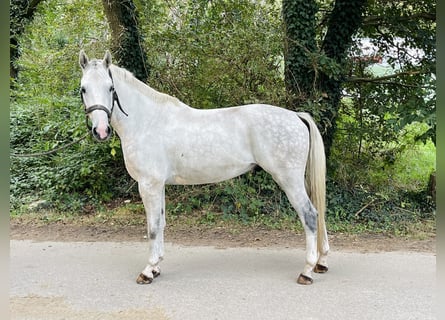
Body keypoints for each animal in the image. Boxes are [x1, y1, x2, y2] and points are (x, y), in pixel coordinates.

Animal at [79, 50, 330, 284]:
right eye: (83, 89)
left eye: (111, 88)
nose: (101, 131)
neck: (147, 121)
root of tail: (296, 116)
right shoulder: (158, 185)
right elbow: (161, 223)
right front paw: (157, 267)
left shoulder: (148, 184)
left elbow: (153, 227)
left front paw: (148, 271)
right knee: (318, 213)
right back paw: (321, 262)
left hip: (289, 180)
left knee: (309, 215)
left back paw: (306, 271)